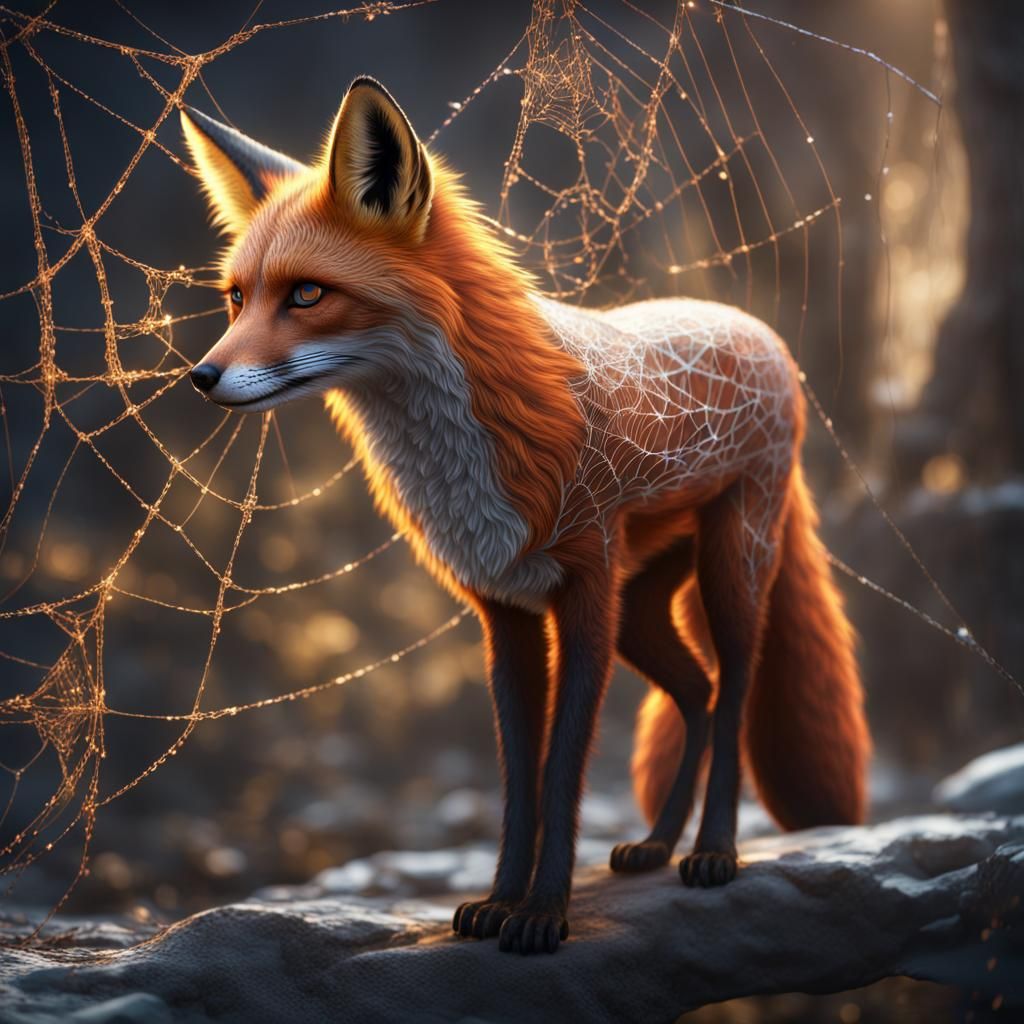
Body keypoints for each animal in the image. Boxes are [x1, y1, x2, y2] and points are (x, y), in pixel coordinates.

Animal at [181, 76, 870, 955]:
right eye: (238, 299)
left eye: (307, 292)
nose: (202, 377)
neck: (465, 461)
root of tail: (758, 330)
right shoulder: (504, 612)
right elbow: (518, 777)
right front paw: (499, 902)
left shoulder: (584, 599)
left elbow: (564, 766)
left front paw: (543, 915)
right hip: (643, 609)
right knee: (701, 692)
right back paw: (656, 845)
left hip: (728, 572)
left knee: (734, 692)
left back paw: (713, 852)